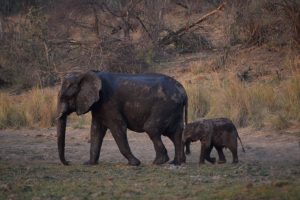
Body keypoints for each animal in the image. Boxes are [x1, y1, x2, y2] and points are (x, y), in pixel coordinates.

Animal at [56, 70, 188, 166]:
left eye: (66, 97)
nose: (68, 162)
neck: (85, 73)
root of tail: (182, 89)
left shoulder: (109, 102)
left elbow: (118, 128)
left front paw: (134, 163)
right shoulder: (98, 105)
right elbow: (96, 131)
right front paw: (89, 164)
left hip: (165, 106)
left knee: (151, 128)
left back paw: (158, 162)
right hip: (173, 108)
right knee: (174, 133)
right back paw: (176, 162)